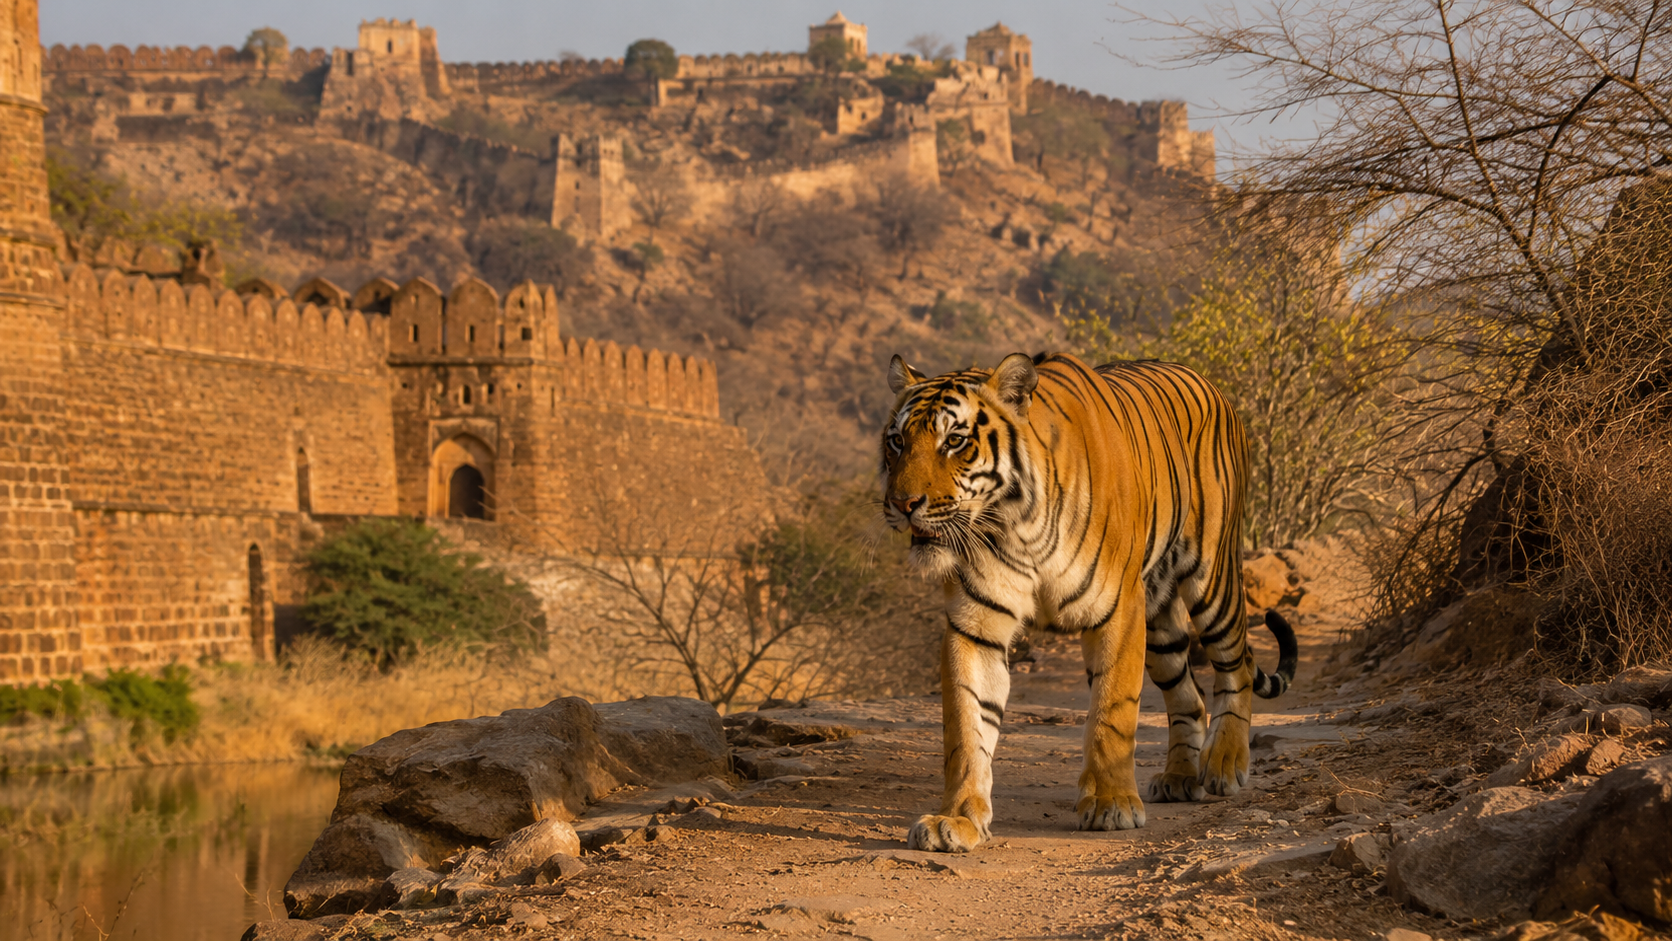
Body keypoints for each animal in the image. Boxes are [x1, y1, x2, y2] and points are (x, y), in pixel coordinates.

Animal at [880, 351, 1299, 853]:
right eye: (897, 441)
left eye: (955, 441)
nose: (902, 504)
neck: (1013, 524)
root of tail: (1208, 383)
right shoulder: (976, 623)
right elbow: (966, 726)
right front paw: (956, 819)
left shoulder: (1117, 610)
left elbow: (1112, 711)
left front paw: (1111, 804)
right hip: (1160, 624)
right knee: (1189, 696)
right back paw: (1180, 778)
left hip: (1212, 577)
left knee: (1237, 664)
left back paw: (1225, 763)